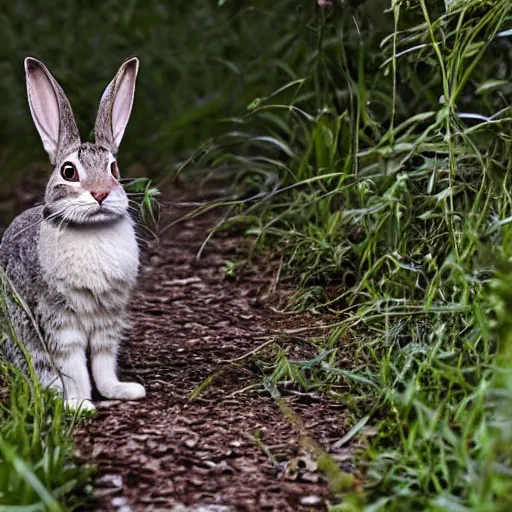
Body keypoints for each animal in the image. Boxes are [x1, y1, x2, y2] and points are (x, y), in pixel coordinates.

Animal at [0, 57, 146, 412]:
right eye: (69, 172)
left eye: (114, 169)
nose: (101, 193)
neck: (91, 229)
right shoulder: (59, 320)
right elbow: (74, 366)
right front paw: (80, 405)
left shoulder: (108, 319)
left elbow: (103, 362)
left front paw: (121, 390)